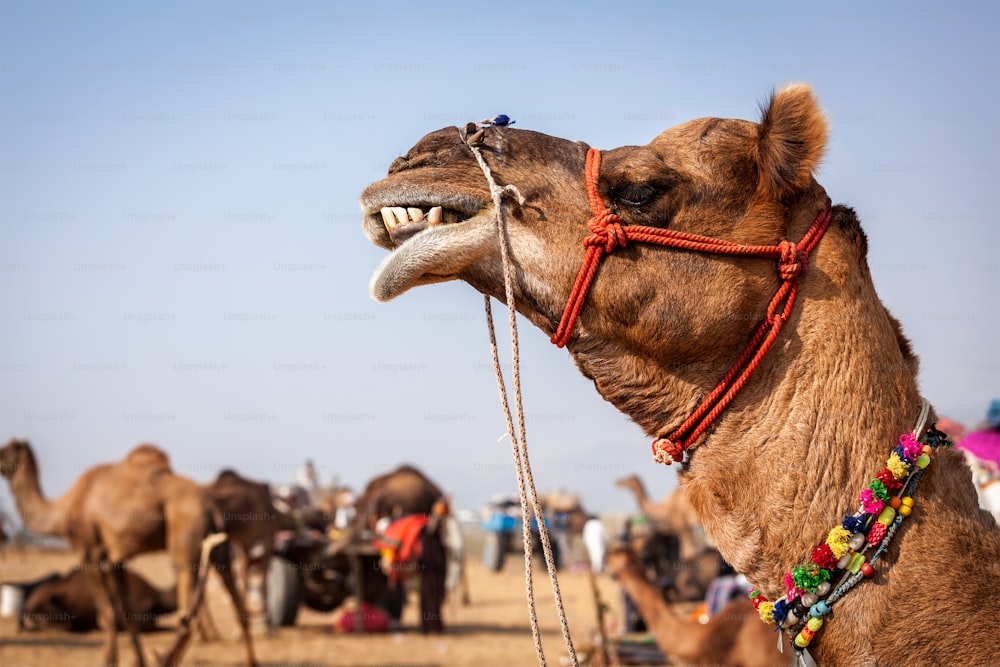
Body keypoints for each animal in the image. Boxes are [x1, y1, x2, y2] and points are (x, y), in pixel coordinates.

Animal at [0, 438, 258, 667]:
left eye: (4, 451)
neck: (65, 509)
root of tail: (211, 506)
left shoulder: (90, 553)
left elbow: (107, 613)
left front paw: (109, 661)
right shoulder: (116, 560)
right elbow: (125, 612)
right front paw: (137, 661)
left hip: (185, 543)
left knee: (187, 619)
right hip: (221, 552)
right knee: (240, 609)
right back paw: (250, 662)